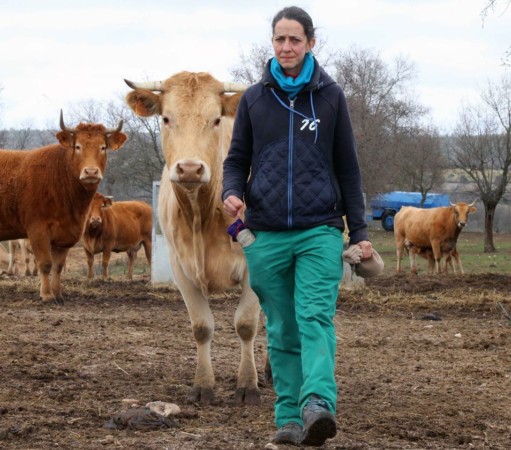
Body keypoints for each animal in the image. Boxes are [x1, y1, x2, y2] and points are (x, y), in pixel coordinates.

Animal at [0, 111, 127, 303]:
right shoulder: (37, 229)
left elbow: (58, 266)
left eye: (103, 147)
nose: (91, 172)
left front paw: (58, 293)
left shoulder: (66, 233)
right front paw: (46, 295)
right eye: (78, 147)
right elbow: (45, 263)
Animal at [124, 72, 261, 405]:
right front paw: (203, 387)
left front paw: (247, 385)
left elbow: (246, 325)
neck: (202, 212)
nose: (189, 168)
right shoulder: (179, 266)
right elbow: (201, 327)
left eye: (215, 120)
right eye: (166, 118)